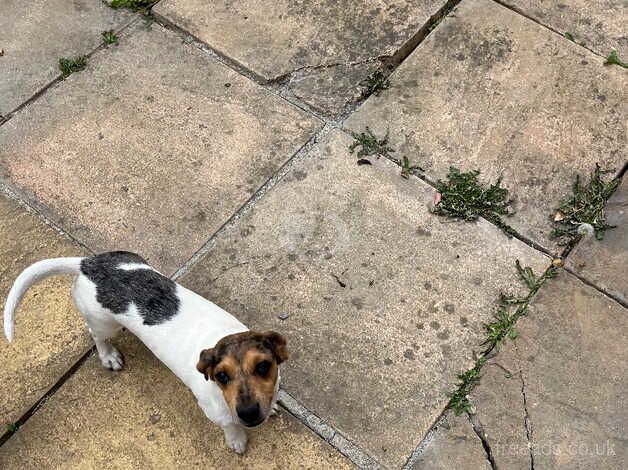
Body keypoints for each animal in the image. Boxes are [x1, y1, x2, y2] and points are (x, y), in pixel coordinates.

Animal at [1, 252, 288, 454]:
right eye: (222, 376)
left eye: (263, 366)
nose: (249, 413)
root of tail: (88, 264)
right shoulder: (214, 411)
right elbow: (229, 426)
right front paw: (237, 440)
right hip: (103, 323)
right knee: (96, 335)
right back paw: (108, 355)